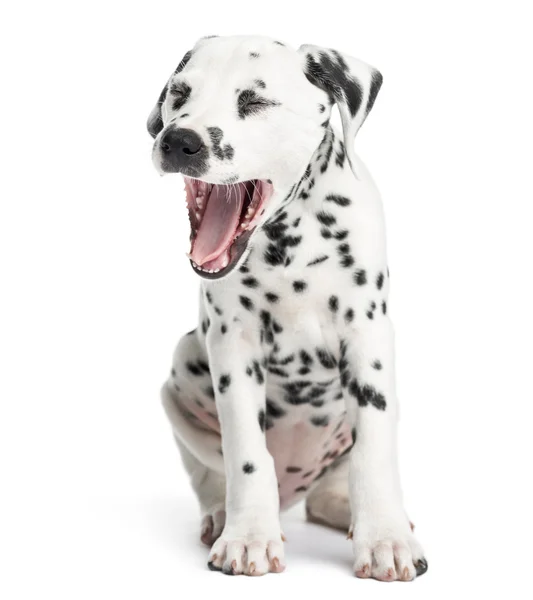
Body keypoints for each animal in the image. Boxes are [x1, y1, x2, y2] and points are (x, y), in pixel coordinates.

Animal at [147, 35, 428, 580]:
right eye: (180, 93)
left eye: (254, 101)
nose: (179, 140)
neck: (288, 242)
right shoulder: (232, 347)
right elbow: (245, 454)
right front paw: (249, 536)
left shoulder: (368, 338)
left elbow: (374, 451)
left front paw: (385, 538)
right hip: (182, 369)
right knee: (212, 477)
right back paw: (222, 515)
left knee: (327, 493)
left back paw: (350, 512)